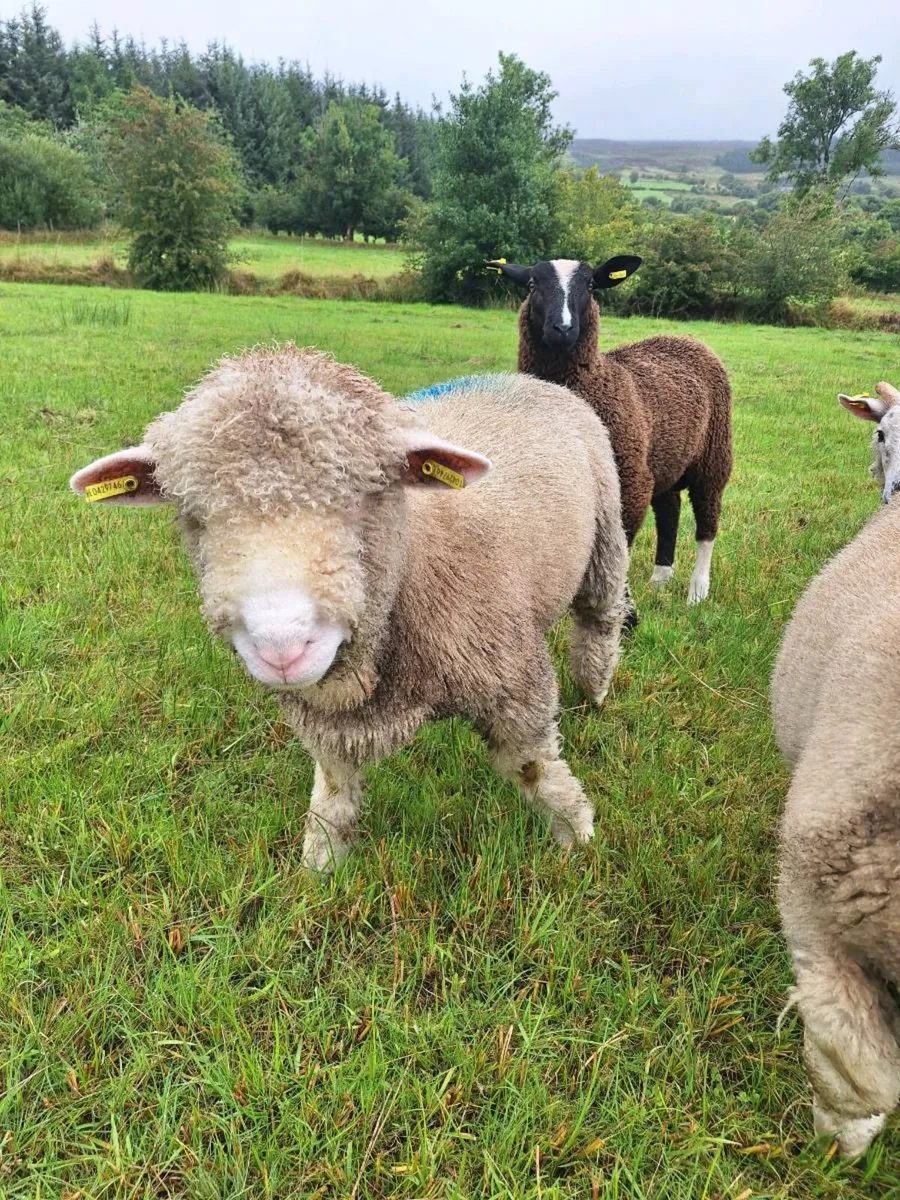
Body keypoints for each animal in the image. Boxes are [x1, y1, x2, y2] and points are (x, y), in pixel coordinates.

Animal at [71, 346, 628, 874]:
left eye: (368, 493)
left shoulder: (513, 682)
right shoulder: (327, 719)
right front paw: (321, 865)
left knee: (599, 620)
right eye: (192, 515)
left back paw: (594, 692)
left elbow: (534, 769)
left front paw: (577, 836)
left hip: (605, 535)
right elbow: (335, 793)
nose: (282, 649)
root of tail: (524, 379)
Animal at [491, 257, 733, 619]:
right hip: (663, 457)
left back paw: (697, 590)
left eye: (591, 285)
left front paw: (623, 613)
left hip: (713, 455)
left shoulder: (631, 481)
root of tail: (688, 339)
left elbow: (619, 549)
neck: (597, 381)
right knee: (669, 509)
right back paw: (661, 577)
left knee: (707, 519)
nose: (562, 329)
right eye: (532, 285)